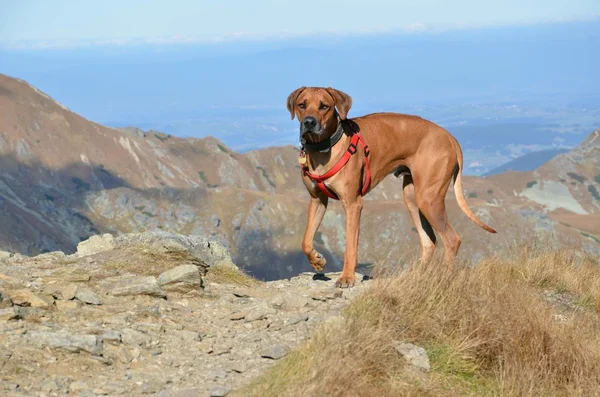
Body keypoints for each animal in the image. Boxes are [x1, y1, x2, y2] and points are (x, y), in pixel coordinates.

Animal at [286, 86, 496, 286]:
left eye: (324, 106)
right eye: (302, 105)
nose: (309, 122)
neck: (324, 147)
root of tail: (450, 137)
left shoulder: (353, 204)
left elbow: (350, 246)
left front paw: (346, 278)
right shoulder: (317, 200)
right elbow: (306, 240)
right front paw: (316, 260)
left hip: (429, 198)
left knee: (452, 240)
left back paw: (445, 277)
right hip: (412, 198)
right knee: (429, 241)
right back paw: (416, 276)